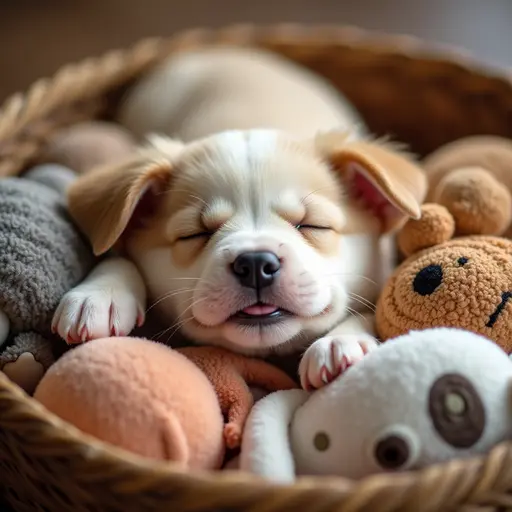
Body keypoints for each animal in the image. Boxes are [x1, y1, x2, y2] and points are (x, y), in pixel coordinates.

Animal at [53, 49, 428, 392]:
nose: (256, 263)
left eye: (312, 226)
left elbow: (371, 311)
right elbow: (117, 251)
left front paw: (340, 341)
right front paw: (99, 294)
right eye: (195, 234)